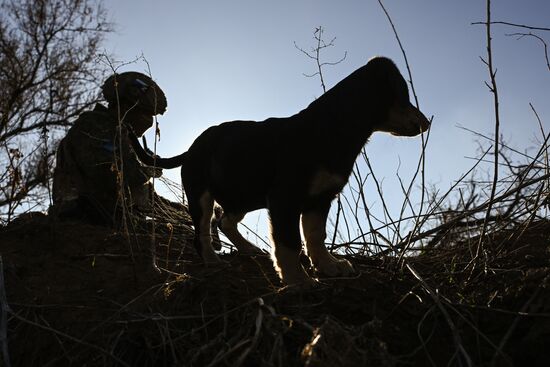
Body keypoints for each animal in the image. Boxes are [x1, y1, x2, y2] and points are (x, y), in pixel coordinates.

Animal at [129, 57, 432, 286]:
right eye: (404, 96)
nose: (427, 123)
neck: (333, 129)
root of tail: (192, 147)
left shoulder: (320, 199)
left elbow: (315, 236)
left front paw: (328, 266)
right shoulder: (285, 199)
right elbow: (289, 242)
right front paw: (297, 280)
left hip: (244, 195)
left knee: (225, 221)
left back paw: (248, 248)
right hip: (202, 193)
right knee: (203, 229)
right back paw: (212, 259)